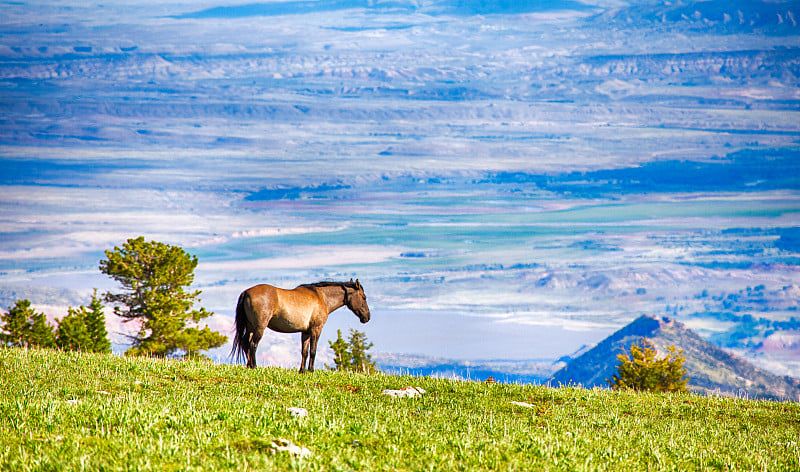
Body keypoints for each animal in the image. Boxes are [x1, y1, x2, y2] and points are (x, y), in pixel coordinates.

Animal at [230, 278, 370, 374]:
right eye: (364, 297)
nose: (367, 317)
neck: (321, 297)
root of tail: (246, 292)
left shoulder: (306, 332)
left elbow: (305, 351)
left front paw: (302, 371)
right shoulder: (316, 329)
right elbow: (313, 351)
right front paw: (311, 370)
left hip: (250, 327)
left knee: (245, 343)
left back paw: (249, 365)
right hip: (259, 327)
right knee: (253, 344)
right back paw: (254, 366)